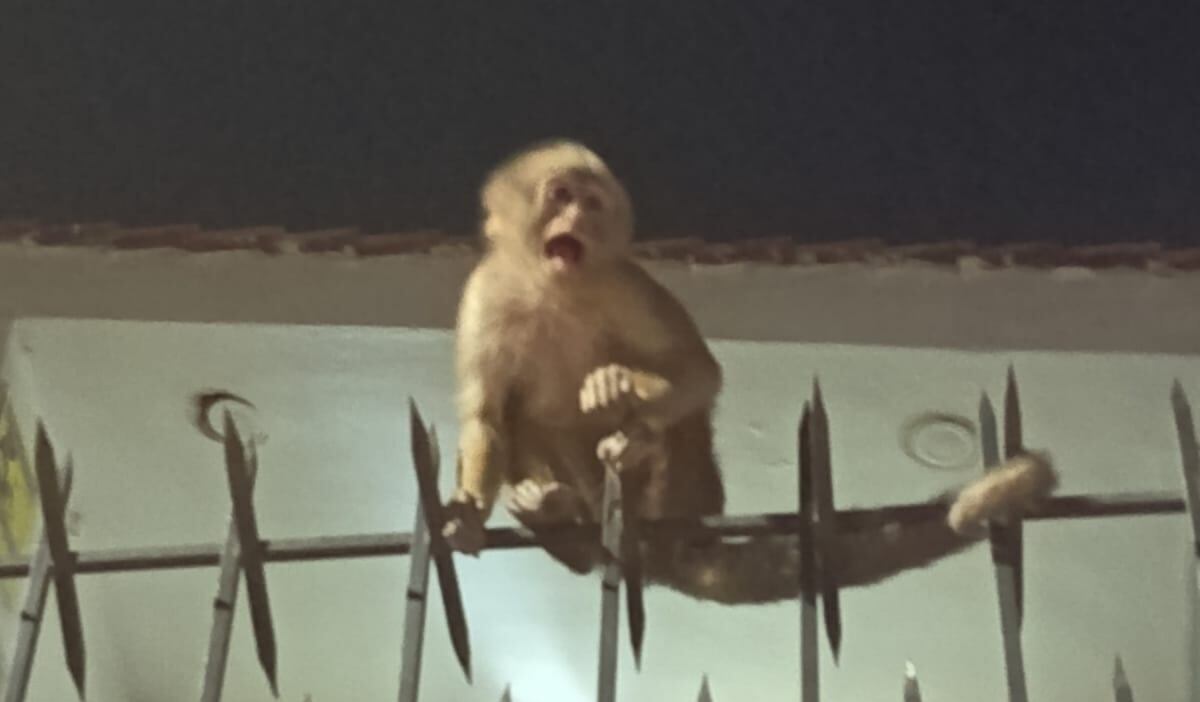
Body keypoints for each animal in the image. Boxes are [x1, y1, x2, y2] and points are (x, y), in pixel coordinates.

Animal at [439, 138, 1059, 604]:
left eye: (591, 204)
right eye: (561, 196)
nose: (575, 218)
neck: (552, 287)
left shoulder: (622, 280)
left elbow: (699, 372)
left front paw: (622, 400)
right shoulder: (484, 293)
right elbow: (486, 416)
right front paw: (468, 513)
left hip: (685, 501)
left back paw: (634, 444)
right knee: (524, 421)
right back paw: (561, 528)